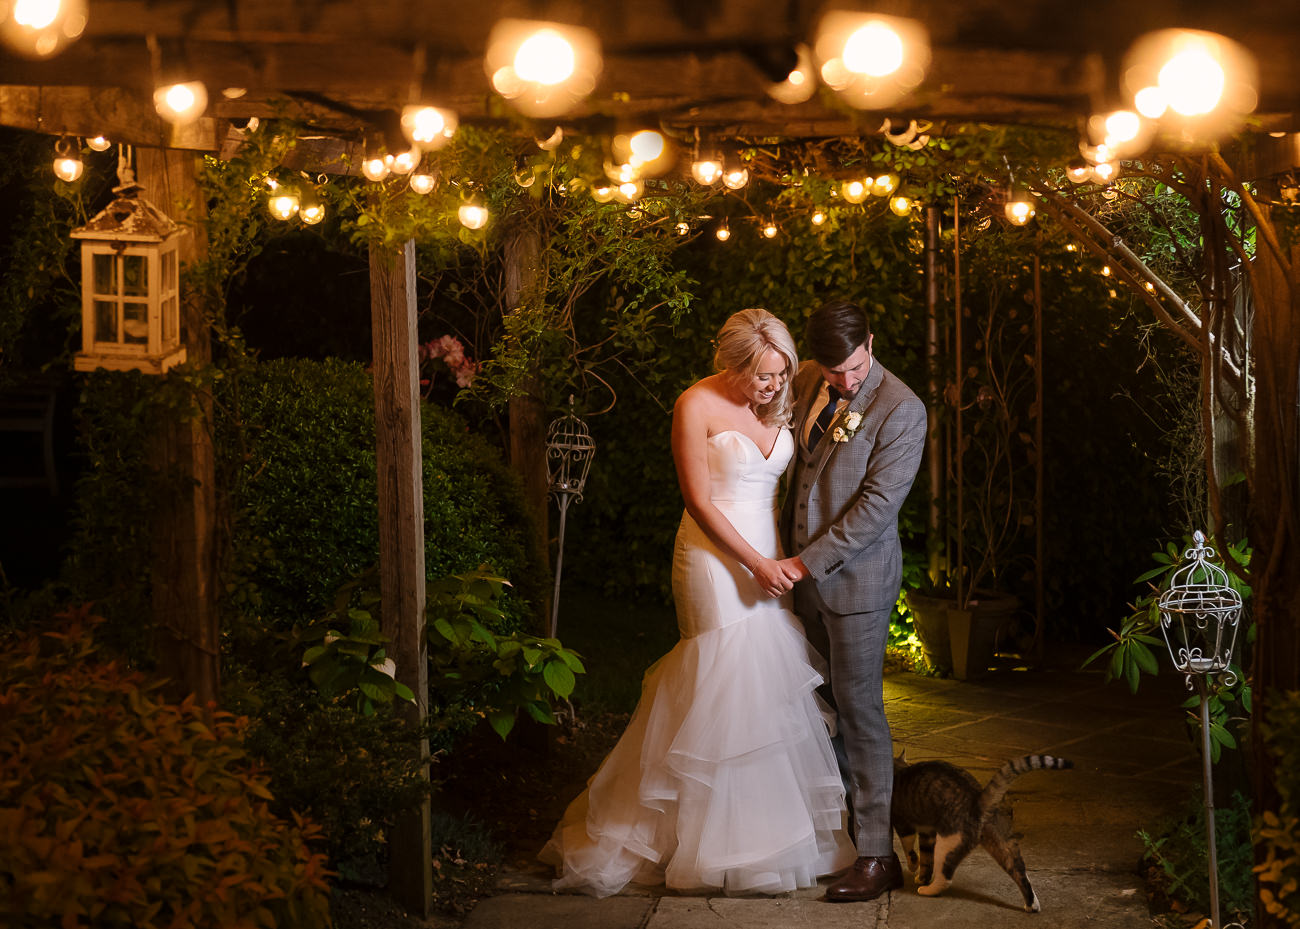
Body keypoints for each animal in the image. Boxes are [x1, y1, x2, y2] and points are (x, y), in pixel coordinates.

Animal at [889, 753, 1071, 914]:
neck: (898, 769)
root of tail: (977, 799)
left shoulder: (903, 823)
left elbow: (910, 849)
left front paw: (913, 867)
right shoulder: (927, 833)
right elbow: (926, 859)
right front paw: (922, 877)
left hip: (948, 843)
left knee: (945, 877)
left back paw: (928, 890)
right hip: (1003, 843)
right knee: (1019, 871)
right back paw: (1032, 905)